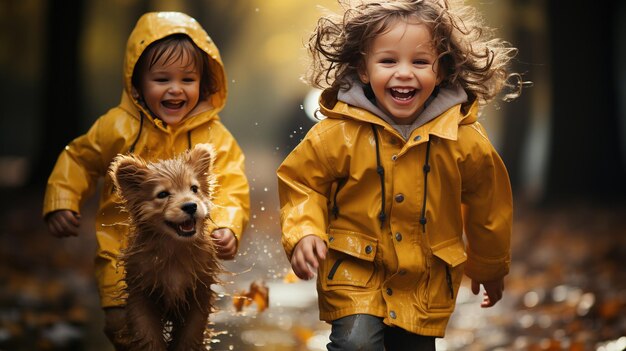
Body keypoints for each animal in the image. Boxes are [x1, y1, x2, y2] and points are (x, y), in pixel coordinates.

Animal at [109, 144, 222, 350]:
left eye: (194, 189)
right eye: (162, 194)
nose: (190, 206)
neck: (174, 250)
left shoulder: (197, 296)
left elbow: (189, 338)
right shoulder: (141, 295)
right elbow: (148, 336)